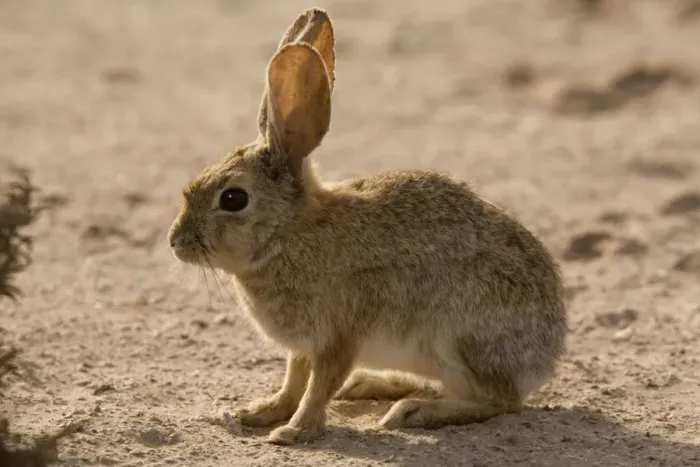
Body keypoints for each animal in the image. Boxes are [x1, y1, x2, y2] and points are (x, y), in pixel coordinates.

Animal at [167, 8, 567, 446]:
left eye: (233, 199)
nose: (176, 242)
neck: (288, 233)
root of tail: (546, 354)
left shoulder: (340, 335)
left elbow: (318, 385)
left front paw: (293, 431)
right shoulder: (303, 344)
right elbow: (294, 379)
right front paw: (261, 411)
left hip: (458, 340)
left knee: (500, 401)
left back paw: (413, 412)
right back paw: (371, 384)